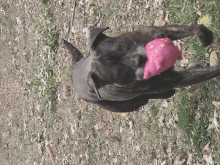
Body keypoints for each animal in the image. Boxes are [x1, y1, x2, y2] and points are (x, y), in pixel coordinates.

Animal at [63, 24, 220, 112]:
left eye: (120, 47)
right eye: (120, 72)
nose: (140, 58)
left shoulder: (158, 32)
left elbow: (191, 29)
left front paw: (204, 35)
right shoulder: (177, 79)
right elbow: (209, 72)